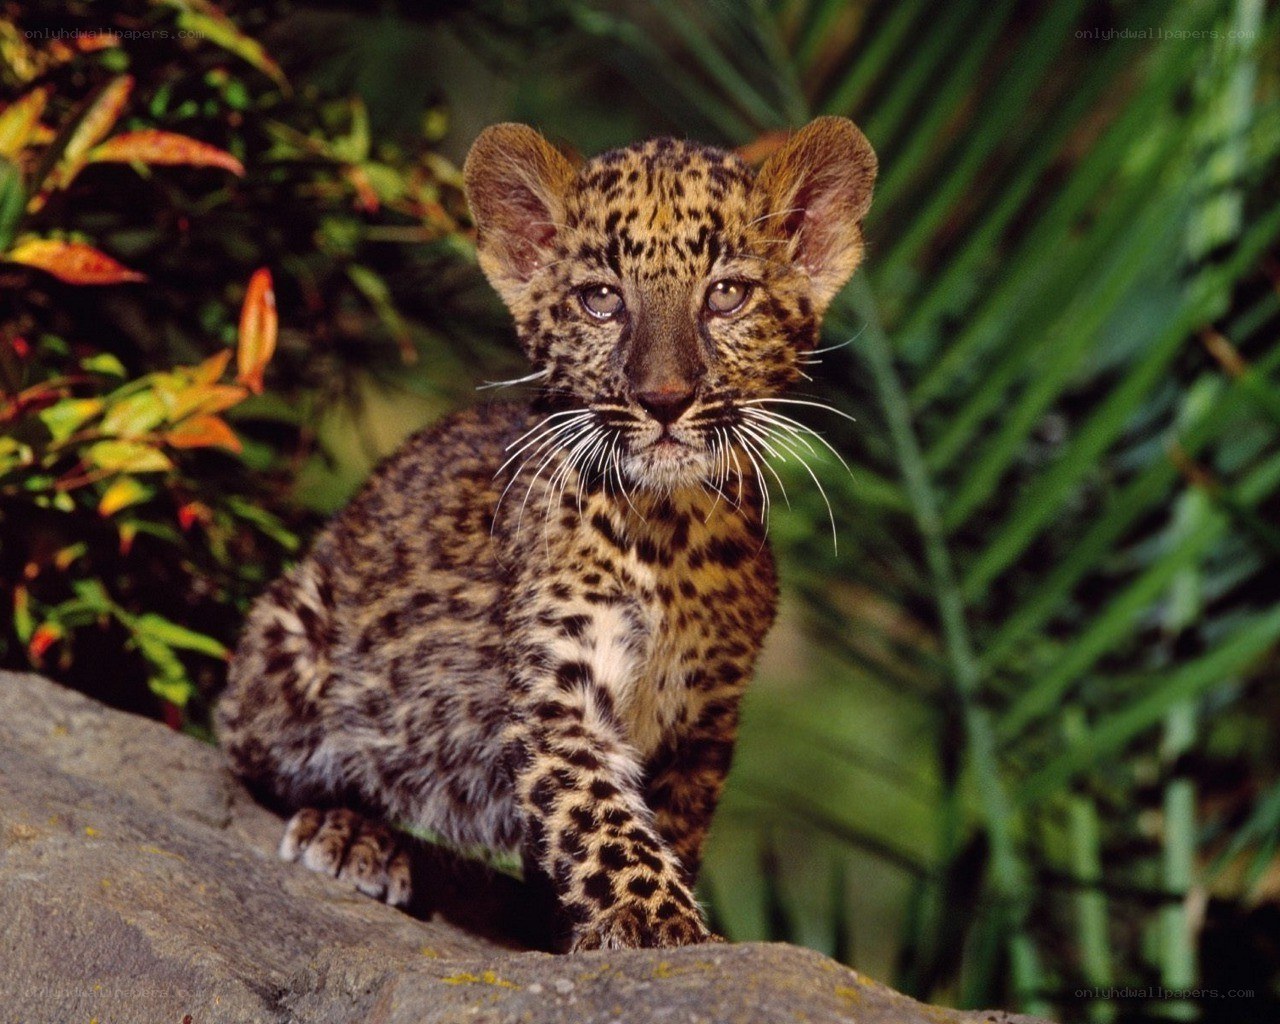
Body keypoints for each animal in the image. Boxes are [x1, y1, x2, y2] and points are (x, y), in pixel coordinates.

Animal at [215, 116, 877, 951]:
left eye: (726, 295)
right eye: (601, 300)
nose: (665, 400)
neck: (672, 532)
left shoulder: (704, 716)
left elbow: (665, 826)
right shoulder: (558, 687)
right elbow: (601, 819)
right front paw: (657, 923)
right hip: (294, 647)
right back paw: (352, 833)